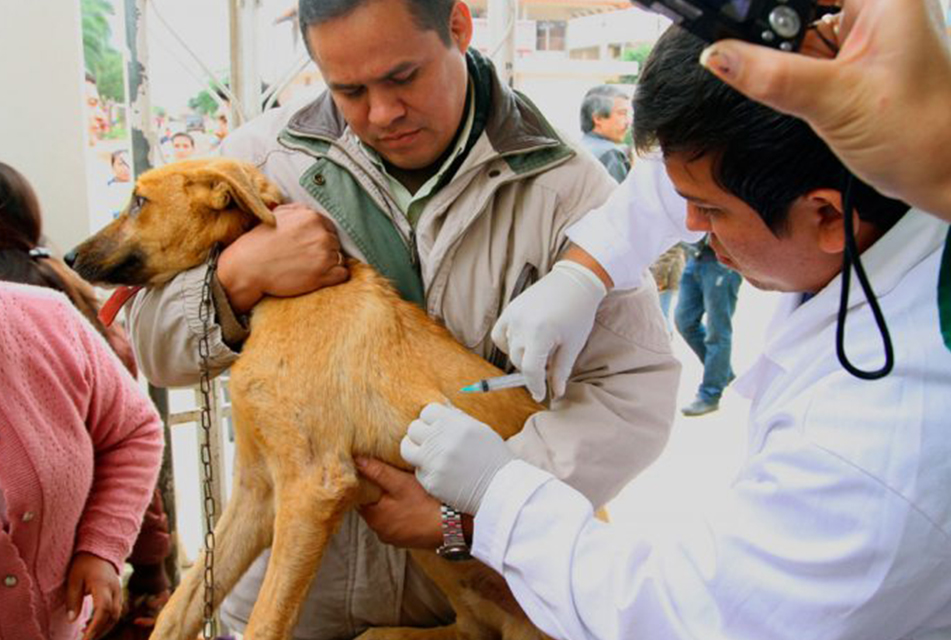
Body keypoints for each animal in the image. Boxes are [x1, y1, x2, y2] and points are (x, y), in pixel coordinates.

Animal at [70, 159, 552, 640]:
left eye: (139, 201)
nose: (70, 258)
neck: (285, 295)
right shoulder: (256, 491)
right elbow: (182, 606)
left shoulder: (312, 485)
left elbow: (265, 621)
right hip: (435, 560)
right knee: (472, 627)